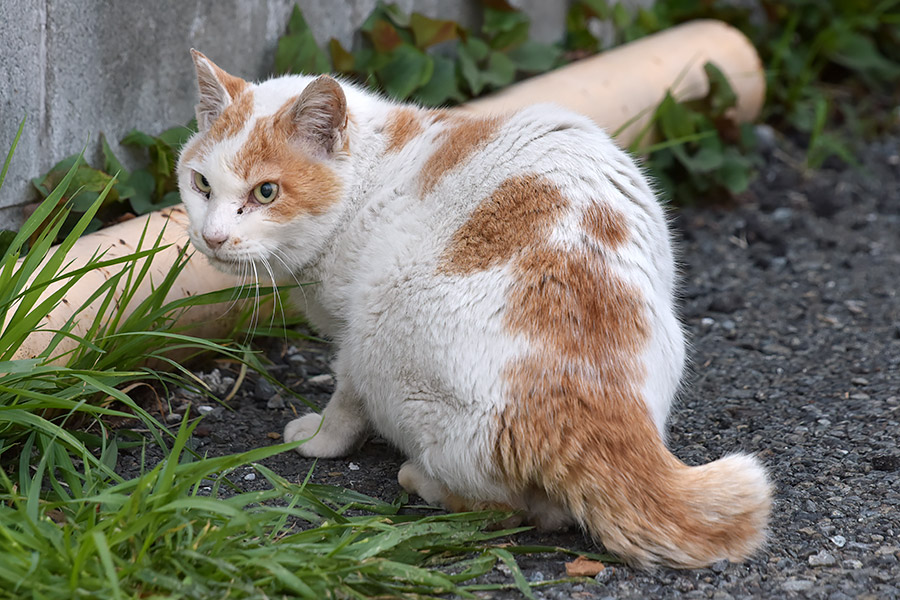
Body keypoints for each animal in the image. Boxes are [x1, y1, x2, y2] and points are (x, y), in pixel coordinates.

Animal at [178, 50, 772, 568]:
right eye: (201, 183)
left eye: (266, 192)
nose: (213, 236)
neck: (371, 174)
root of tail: (587, 393)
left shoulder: (350, 339)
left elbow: (344, 405)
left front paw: (319, 440)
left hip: (382, 342)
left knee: (503, 508)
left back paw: (419, 480)